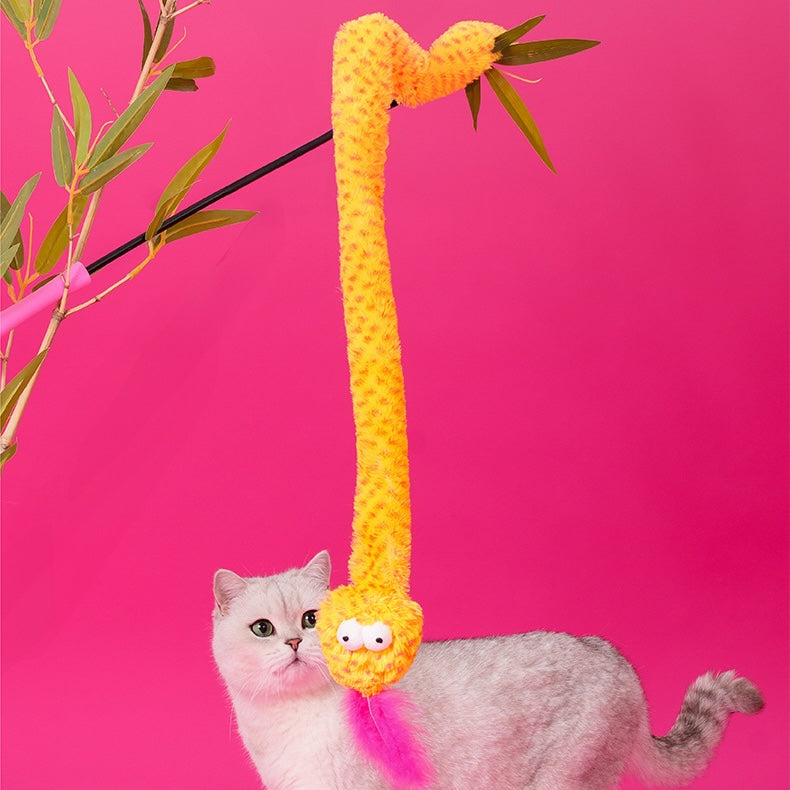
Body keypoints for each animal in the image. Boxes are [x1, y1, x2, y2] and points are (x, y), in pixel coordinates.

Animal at [211, 551, 763, 790]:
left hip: (562, 779)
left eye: (310, 620)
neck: (290, 722)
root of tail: (611, 655)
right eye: (263, 629)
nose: (294, 642)